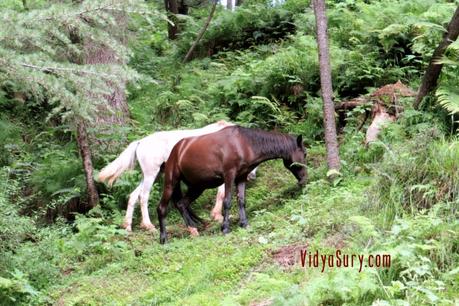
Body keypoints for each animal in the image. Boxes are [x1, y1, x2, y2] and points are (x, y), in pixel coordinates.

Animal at [98, 120, 256, 231]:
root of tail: (140, 142)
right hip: (151, 174)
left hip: (149, 175)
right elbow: (222, 194)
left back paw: (128, 227)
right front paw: (217, 216)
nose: (251, 176)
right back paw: (149, 226)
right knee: (143, 196)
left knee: (133, 196)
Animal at [156, 125, 308, 244]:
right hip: (171, 184)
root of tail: (175, 152)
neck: (243, 144)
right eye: (305, 153)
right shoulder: (229, 175)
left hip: (198, 187)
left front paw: (244, 224)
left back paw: (194, 230)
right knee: (162, 208)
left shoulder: (241, 177)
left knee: (181, 204)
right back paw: (164, 239)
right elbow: (227, 202)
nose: (304, 179)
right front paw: (225, 228)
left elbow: (241, 201)